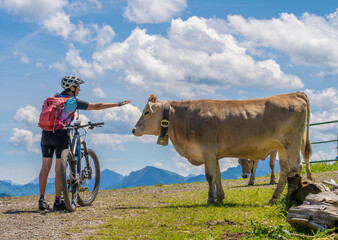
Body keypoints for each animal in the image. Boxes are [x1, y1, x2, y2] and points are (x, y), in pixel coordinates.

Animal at [132, 92, 312, 204]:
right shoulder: (214, 154)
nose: (134, 129)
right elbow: (218, 175)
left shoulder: (207, 150)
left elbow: (209, 176)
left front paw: (211, 199)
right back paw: (275, 197)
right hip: (281, 147)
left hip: (291, 144)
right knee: (285, 170)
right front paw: (220, 197)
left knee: (295, 167)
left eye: (146, 112)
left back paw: (288, 198)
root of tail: (293, 94)